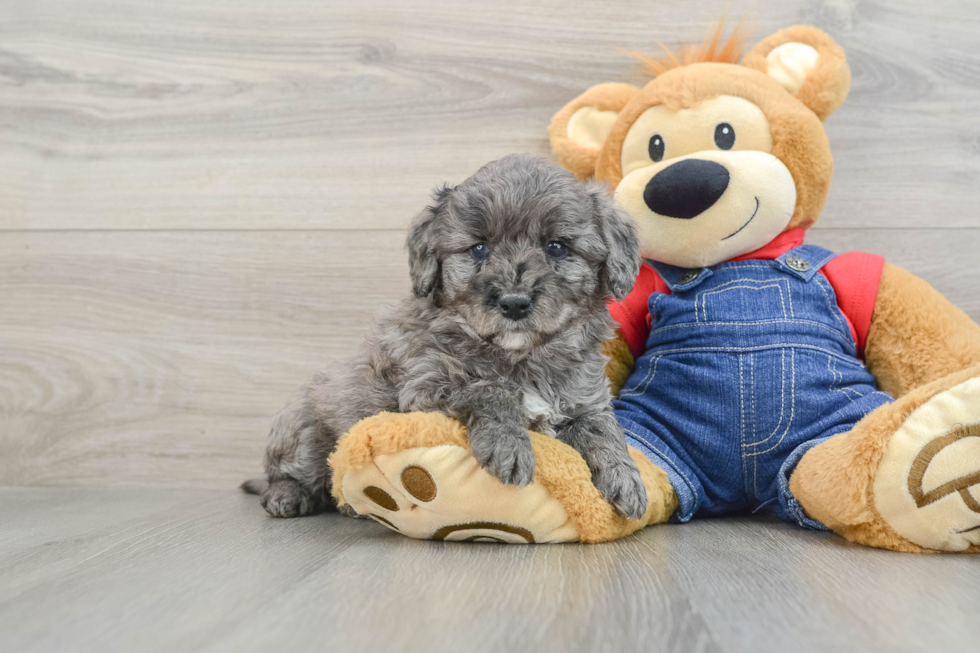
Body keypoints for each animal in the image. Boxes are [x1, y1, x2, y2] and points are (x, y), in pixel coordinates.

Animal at [241, 153, 648, 520]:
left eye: (557, 247)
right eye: (479, 248)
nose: (514, 303)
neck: (521, 357)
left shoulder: (586, 401)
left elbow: (603, 430)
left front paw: (626, 479)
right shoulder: (425, 385)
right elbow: (491, 390)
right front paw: (510, 448)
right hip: (304, 431)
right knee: (294, 473)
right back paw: (289, 497)